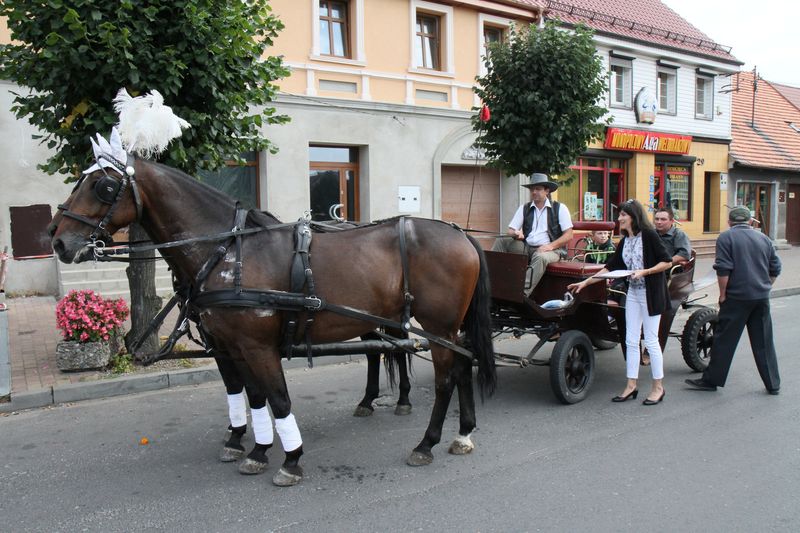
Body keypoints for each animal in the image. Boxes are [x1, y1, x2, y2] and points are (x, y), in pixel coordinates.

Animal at [48, 155, 494, 486]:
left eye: (103, 187)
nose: (57, 239)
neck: (229, 252)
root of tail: (461, 234)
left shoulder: (256, 345)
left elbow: (277, 397)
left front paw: (289, 459)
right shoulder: (228, 345)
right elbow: (250, 395)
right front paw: (253, 447)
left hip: (435, 326)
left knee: (444, 378)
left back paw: (426, 443)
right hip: (437, 327)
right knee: (459, 364)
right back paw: (462, 432)